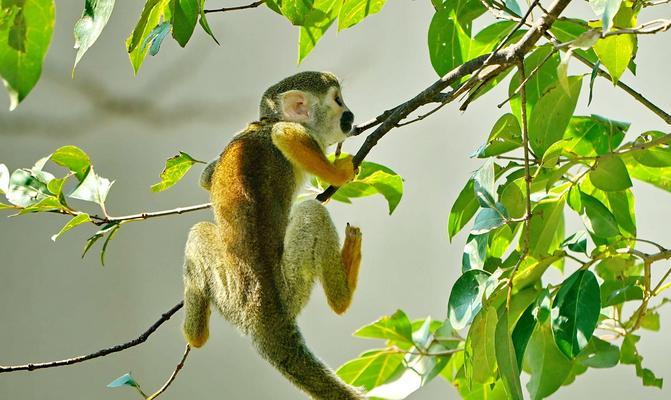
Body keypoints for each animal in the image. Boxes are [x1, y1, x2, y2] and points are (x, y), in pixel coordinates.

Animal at [181, 70, 364, 398]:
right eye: (338, 101)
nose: (351, 116)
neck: (264, 121)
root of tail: (263, 315)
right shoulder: (289, 131)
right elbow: (284, 134)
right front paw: (339, 174)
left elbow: (206, 177)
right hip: (290, 289)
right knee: (309, 212)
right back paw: (343, 291)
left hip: (231, 297)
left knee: (200, 233)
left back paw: (194, 336)